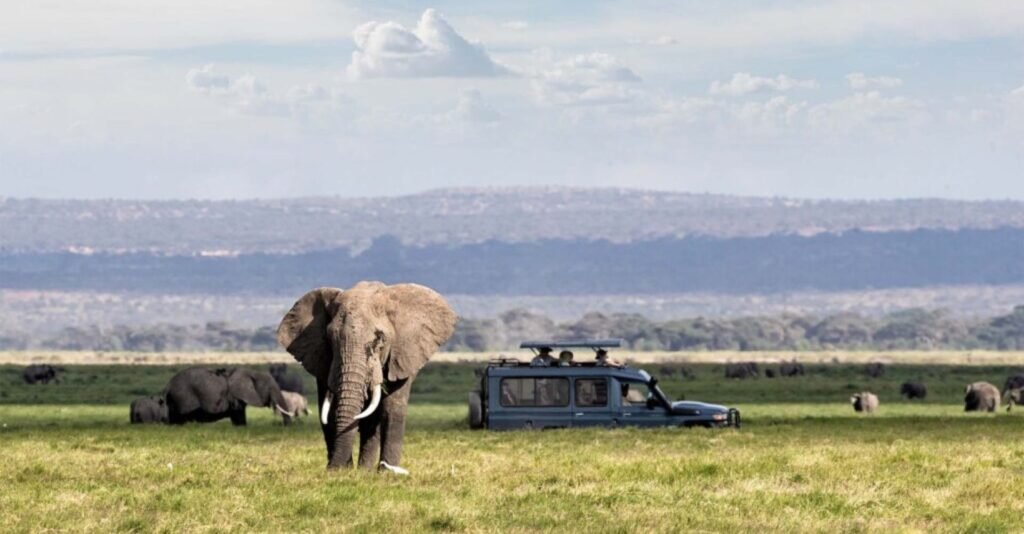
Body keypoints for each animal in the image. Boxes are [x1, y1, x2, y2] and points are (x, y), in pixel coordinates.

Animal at [164, 367, 292, 425]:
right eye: (270, 388)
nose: (285, 426)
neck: (251, 372)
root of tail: (168, 385)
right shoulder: (234, 397)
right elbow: (238, 415)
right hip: (183, 396)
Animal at [276, 282, 457, 473]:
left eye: (380, 340)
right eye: (330, 339)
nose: (334, 467)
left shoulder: (403, 356)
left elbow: (391, 408)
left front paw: (386, 473)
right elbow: (329, 411)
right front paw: (340, 471)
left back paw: (366, 471)